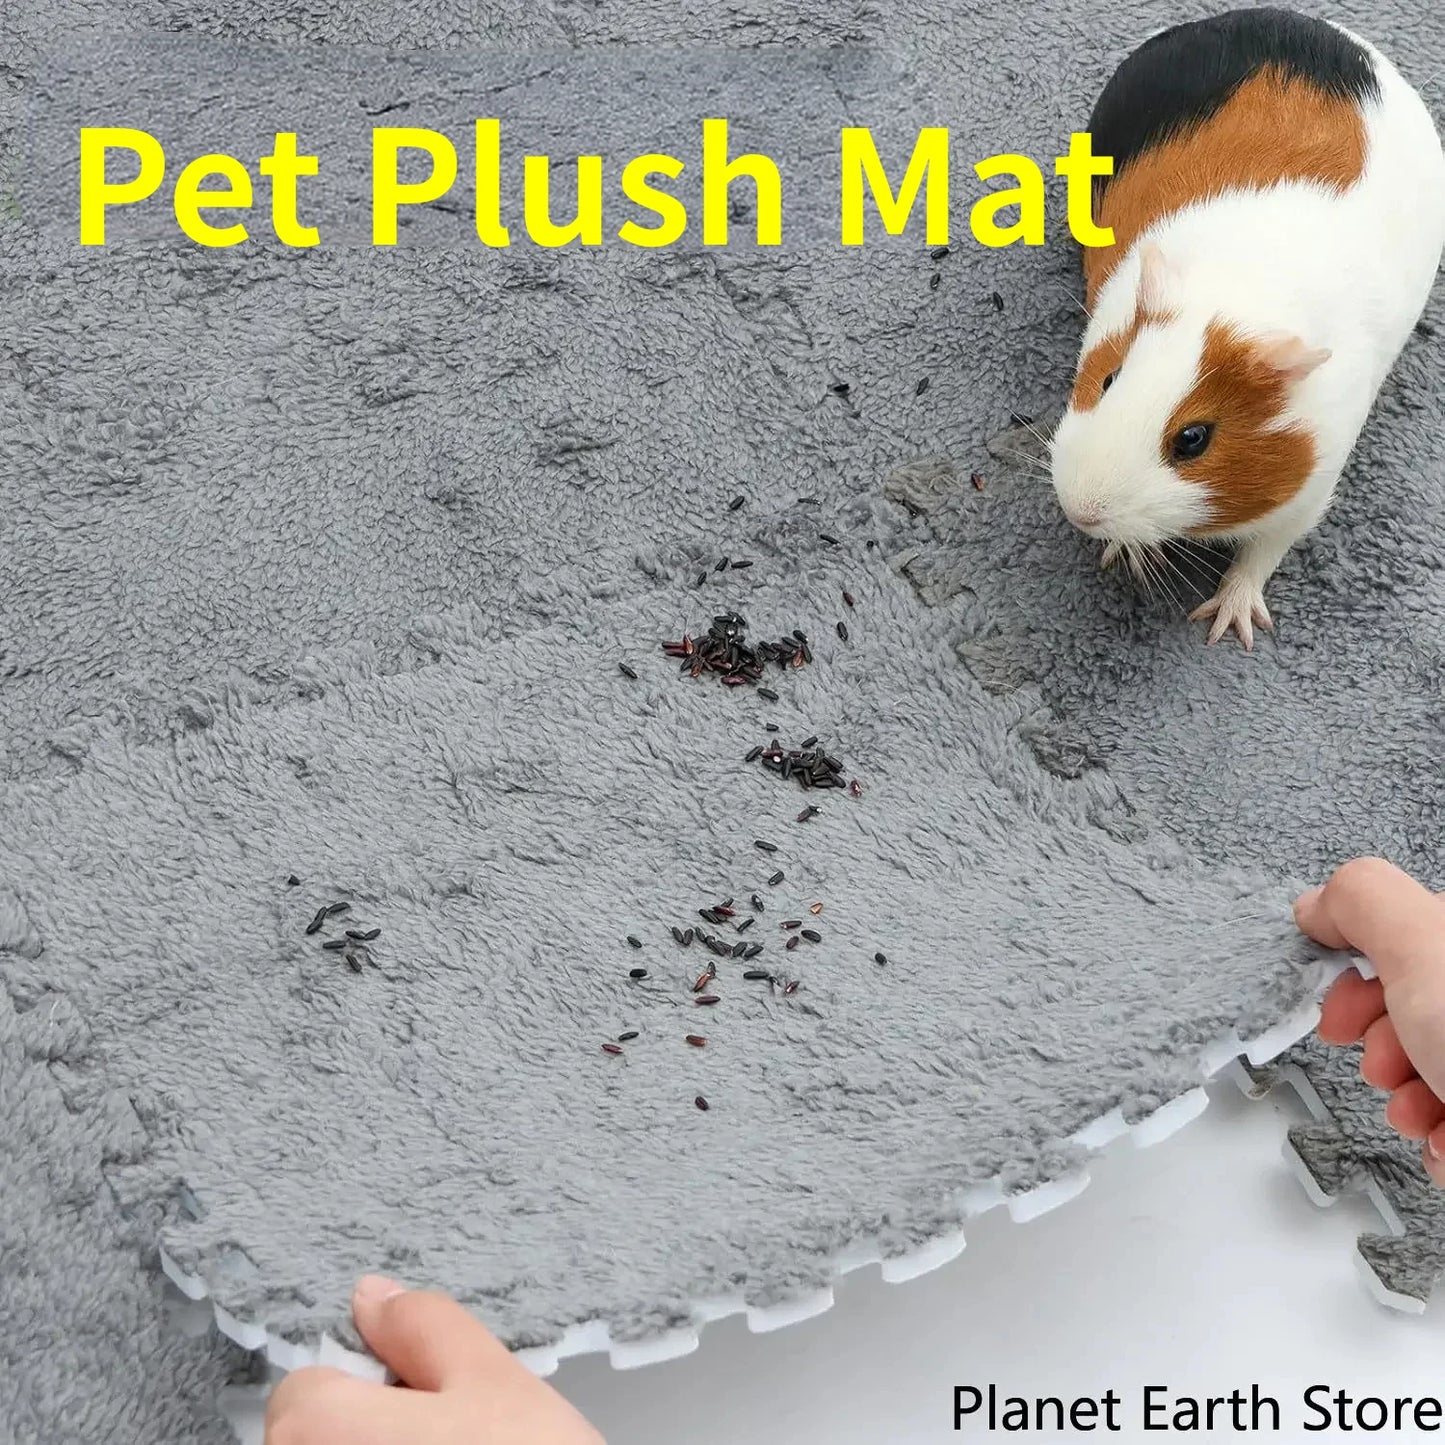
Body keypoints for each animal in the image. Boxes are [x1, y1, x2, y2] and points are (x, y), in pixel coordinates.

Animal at [1049, 7, 1445, 649]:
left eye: (1193, 438)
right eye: (1107, 381)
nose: (1082, 511)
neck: (1235, 299)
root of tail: (1287, 19)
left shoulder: (1305, 500)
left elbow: (1260, 556)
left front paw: (1227, 627)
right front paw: (1121, 554)